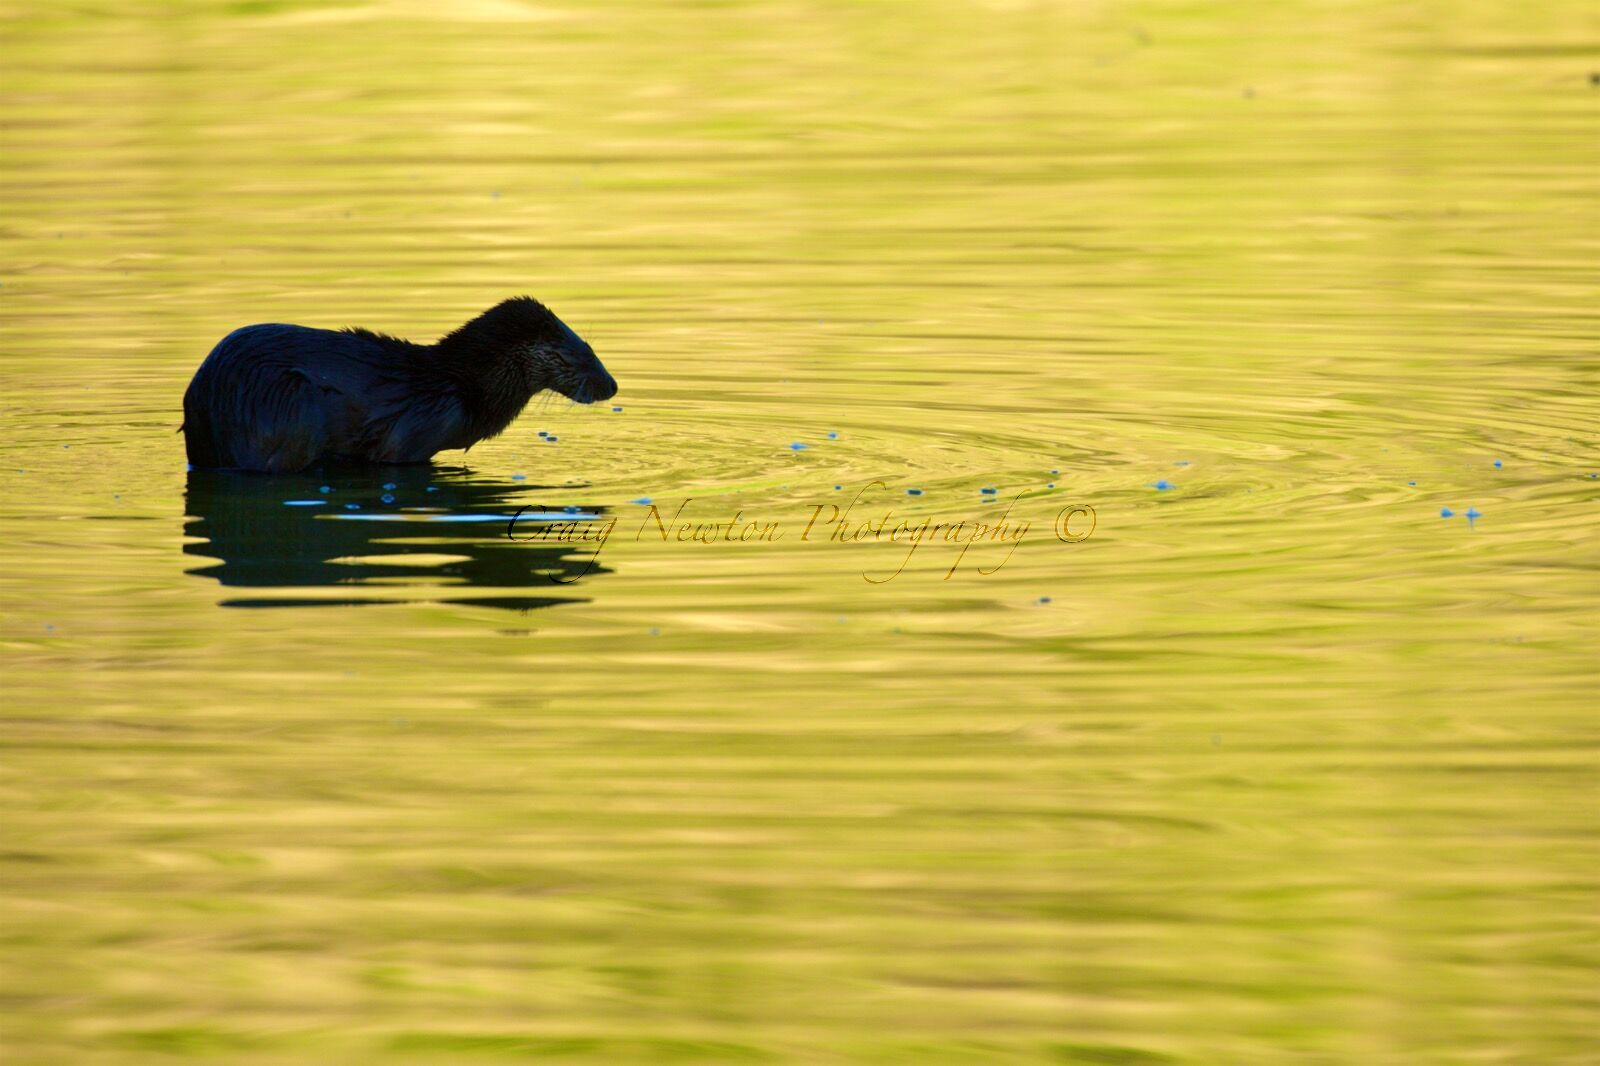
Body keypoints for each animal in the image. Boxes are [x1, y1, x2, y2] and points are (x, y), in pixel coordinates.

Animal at [182, 296, 616, 473]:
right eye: (581, 356)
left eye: (593, 347)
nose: (611, 386)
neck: (461, 388)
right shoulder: (413, 438)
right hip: (292, 407)